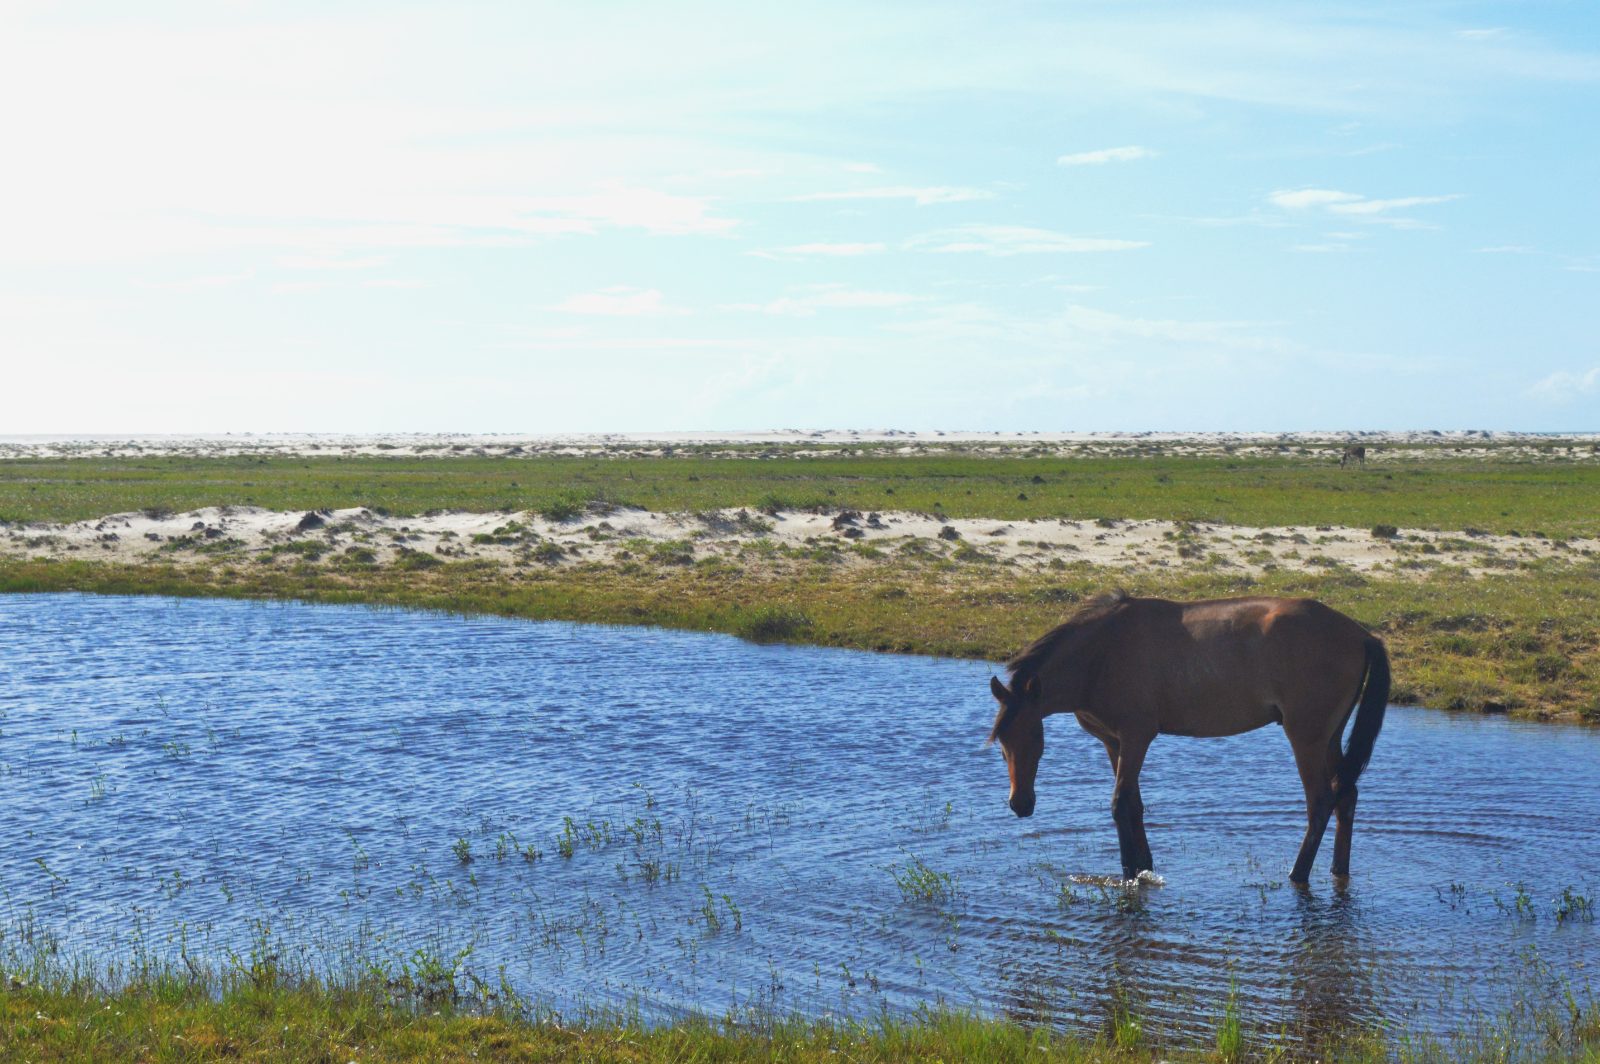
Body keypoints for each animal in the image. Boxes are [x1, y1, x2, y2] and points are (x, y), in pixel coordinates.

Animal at [987, 592, 1388, 885]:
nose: (1020, 804)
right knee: (1346, 795)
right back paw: (1338, 870)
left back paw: (1298, 874)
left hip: (1306, 735)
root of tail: (1361, 634)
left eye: (1033, 740)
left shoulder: (1136, 737)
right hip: (1330, 736)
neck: (1101, 654)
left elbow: (1119, 804)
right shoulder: (1114, 742)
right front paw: (1143, 866)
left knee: (1321, 801)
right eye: (1002, 747)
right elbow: (1134, 805)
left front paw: (1129, 873)